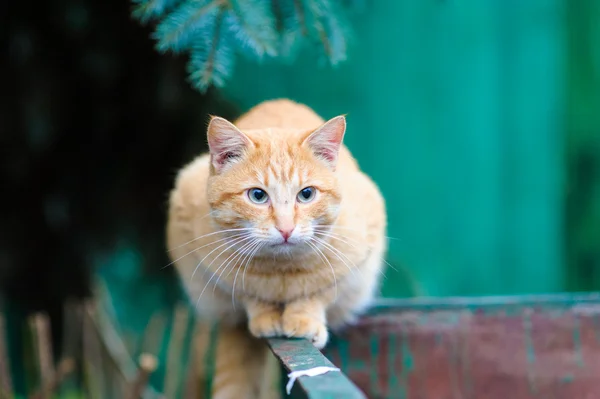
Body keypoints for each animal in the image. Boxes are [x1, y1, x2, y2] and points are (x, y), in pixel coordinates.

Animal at [166, 98, 386, 398]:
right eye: (258, 195)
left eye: (307, 194)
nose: (285, 228)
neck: (281, 270)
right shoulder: (212, 269)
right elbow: (248, 294)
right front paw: (264, 316)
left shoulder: (357, 260)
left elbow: (319, 292)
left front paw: (304, 318)